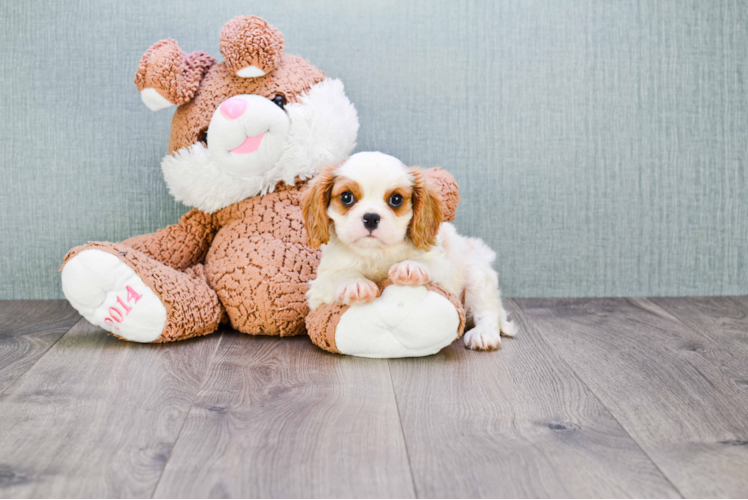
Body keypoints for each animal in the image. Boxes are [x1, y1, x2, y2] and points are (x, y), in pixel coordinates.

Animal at [300, 150, 516, 350]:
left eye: (396, 199)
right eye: (346, 197)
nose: (371, 217)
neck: (376, 252)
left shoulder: (444, 269)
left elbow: (428, 264)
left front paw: (409, 267)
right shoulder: (318, 287)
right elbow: (339, 275)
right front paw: (356, 284)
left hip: (477, 275)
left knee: (488, 313)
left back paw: (483, 334)